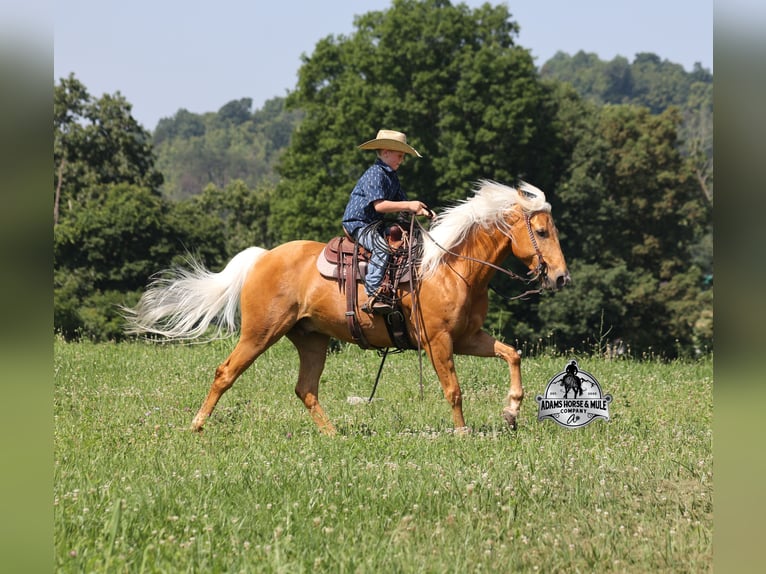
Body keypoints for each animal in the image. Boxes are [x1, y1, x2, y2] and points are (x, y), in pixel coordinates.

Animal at [124, 180, 570, 435]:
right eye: (542, 231)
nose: (561, 278)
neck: (450, 268)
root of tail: (263, 257)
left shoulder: (467, 338)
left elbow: (512, 354)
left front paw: (511, 411)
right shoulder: (439, 341)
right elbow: (454, 389)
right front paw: (462, 433)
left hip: (311, 339)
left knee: (305, 388)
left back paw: (334, 434)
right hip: (260, 333)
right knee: (225, 373)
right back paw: (197, 425)